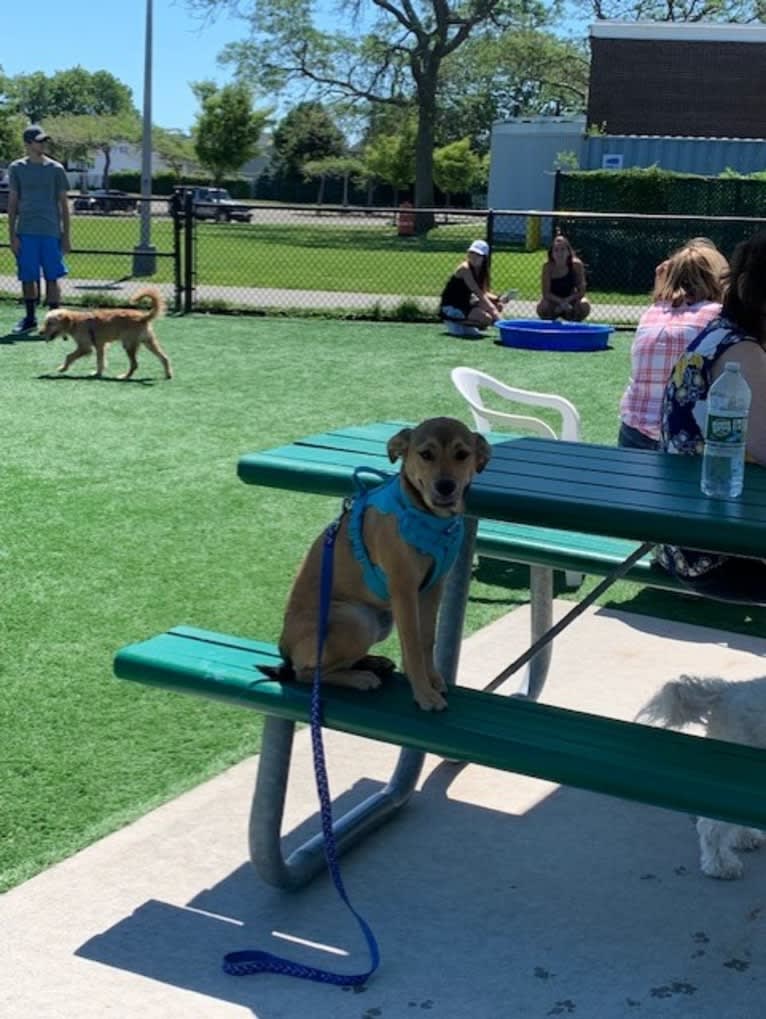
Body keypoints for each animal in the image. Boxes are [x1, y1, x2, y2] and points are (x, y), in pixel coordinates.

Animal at [275, 413, 490, 709]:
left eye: (462, 454)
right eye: (426, 454)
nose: (445, 486)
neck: (429, 518)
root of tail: (283, 646)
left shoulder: (433, 588)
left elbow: (426, 639)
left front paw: (431, 679)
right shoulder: (403, 590)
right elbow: (412, 645)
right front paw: (424, 694)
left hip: (382, 620)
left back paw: (373, 663)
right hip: (357, 619)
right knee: (306, 673)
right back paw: (360, 678)